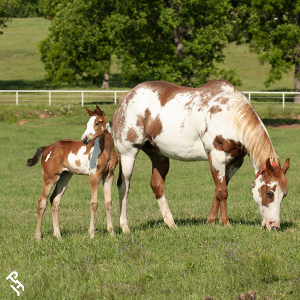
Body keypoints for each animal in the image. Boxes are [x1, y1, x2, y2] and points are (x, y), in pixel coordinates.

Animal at [27, 105, 118, 239]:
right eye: (87, 124)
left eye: (97, 123)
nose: (84, 139)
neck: (106, 151)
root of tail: (47, 147)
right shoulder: (94, 175)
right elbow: (94, 203)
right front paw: (91, 233)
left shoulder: (109, 176)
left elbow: (108, 202)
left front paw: (111, 232)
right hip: (50, 178)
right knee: (42, 201)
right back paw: (38, 236)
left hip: (64, 177)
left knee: (55, 200)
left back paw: (58, 235)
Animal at [113, 81, 290, 233]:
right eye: (269, 193)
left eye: (284, 195)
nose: (274, 225)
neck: (228, 115)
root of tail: (127, 96)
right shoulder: (216, 156)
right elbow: (223, 191)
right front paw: (225, 223)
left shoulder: (234, 162)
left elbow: (218, 190)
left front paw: (211, 221)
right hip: (128, 154)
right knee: (124, 187)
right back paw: (124, 227)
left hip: (159, 156)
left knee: (157, 185)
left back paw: (171, 223)